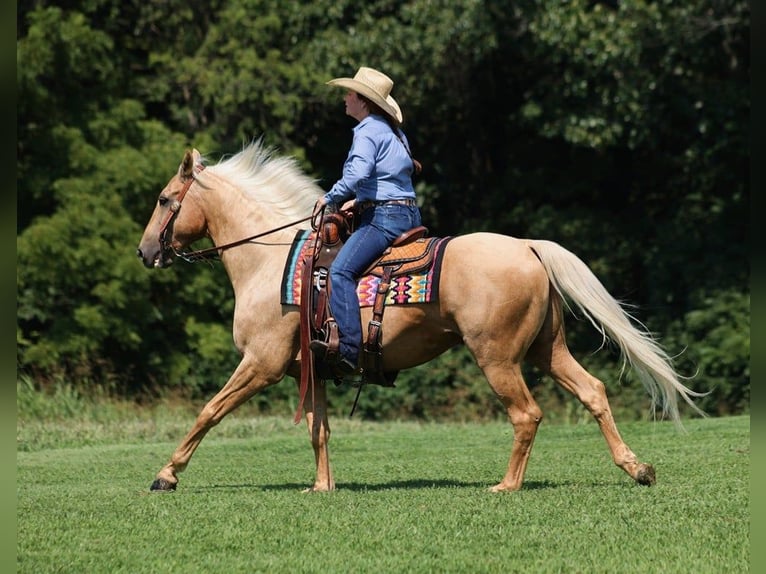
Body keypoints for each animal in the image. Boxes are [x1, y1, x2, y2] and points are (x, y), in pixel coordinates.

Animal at [135, 141, 704, 496]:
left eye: (164, 199)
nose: (145, 252)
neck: (270, 262)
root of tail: (527, 246)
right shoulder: (307, 371)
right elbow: (319, 430)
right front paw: (322, 486)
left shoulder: (262, 363)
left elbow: (209, 411)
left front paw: (166, 475)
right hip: (549, 349)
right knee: (593, 392)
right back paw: (637, 468)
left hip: (497, 357)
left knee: (527, 414)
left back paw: (507, 485)